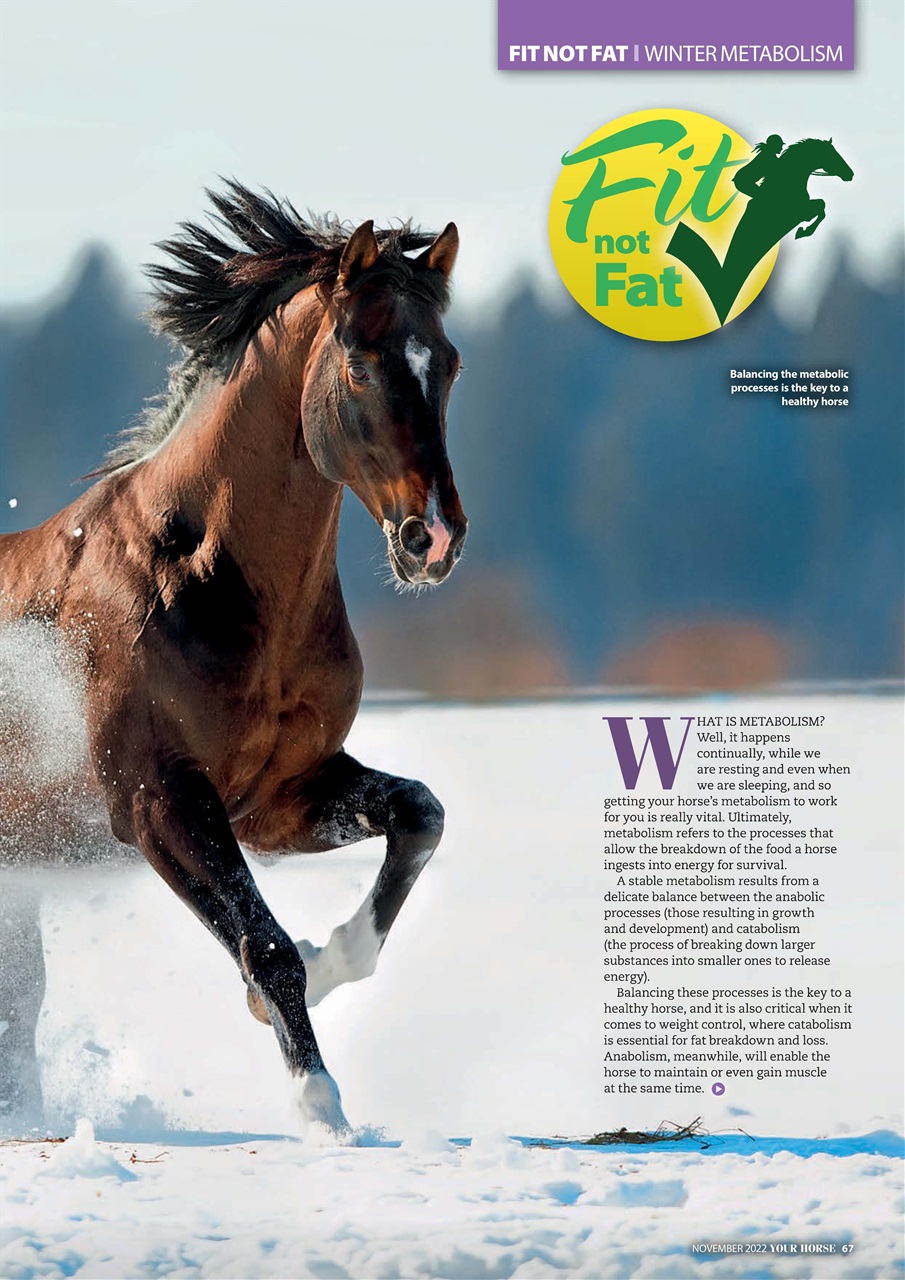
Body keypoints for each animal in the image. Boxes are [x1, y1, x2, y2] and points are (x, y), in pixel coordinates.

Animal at [0, 182, 468, 1137]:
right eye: (358, 362)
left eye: (448, 362)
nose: (432, 538)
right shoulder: (157, 805)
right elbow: (263, 941)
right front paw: (320, 1106)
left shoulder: (278, 797)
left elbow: (419, 815)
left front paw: (328, 969)